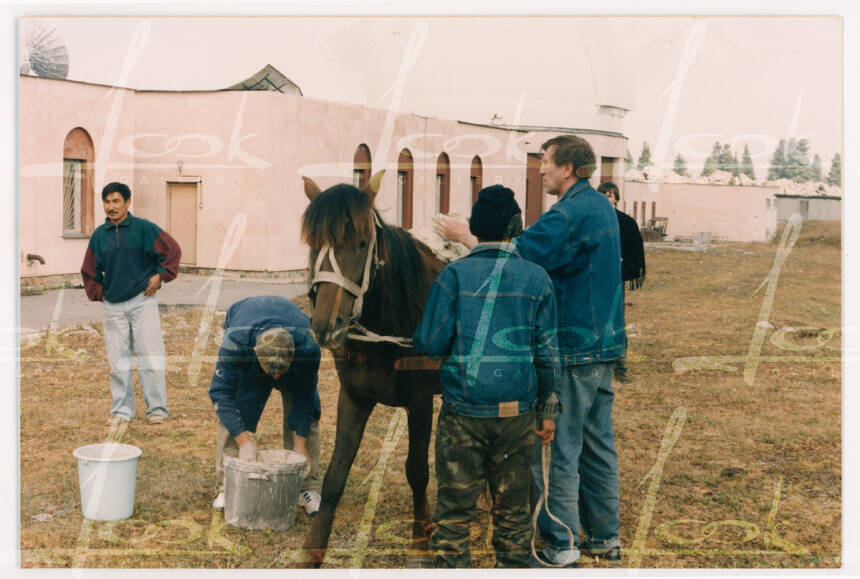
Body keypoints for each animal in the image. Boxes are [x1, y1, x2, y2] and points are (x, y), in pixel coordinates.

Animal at [298, 171, 444, 568]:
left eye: (362, 243)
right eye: (313, 243)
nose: (326, 326)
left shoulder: (421, 401)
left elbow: (417, 470)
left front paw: (420, 543)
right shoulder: (354, 397)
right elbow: (335, 473)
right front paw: (313, 548)